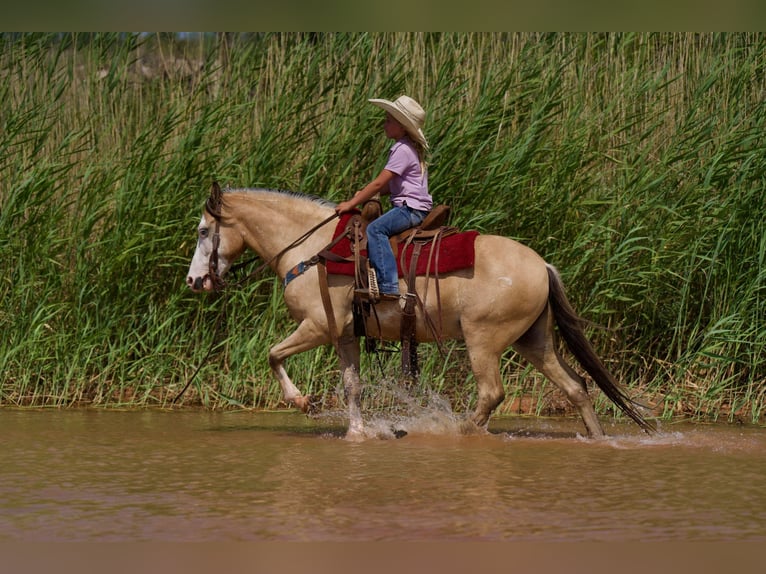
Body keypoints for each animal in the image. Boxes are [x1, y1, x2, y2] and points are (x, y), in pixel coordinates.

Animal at [184, 184, 656, 440]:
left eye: (205, 231)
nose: (194, 281)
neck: (312, 250)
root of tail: (542, 265)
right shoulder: (344, 333)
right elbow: (352, 386)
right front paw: (357, 433)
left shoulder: (317, 326)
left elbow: (272, 354)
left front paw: (303, 401)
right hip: (533, 340)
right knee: (577, 387)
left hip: (484, 340)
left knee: (492, 394)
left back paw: (458, 432)